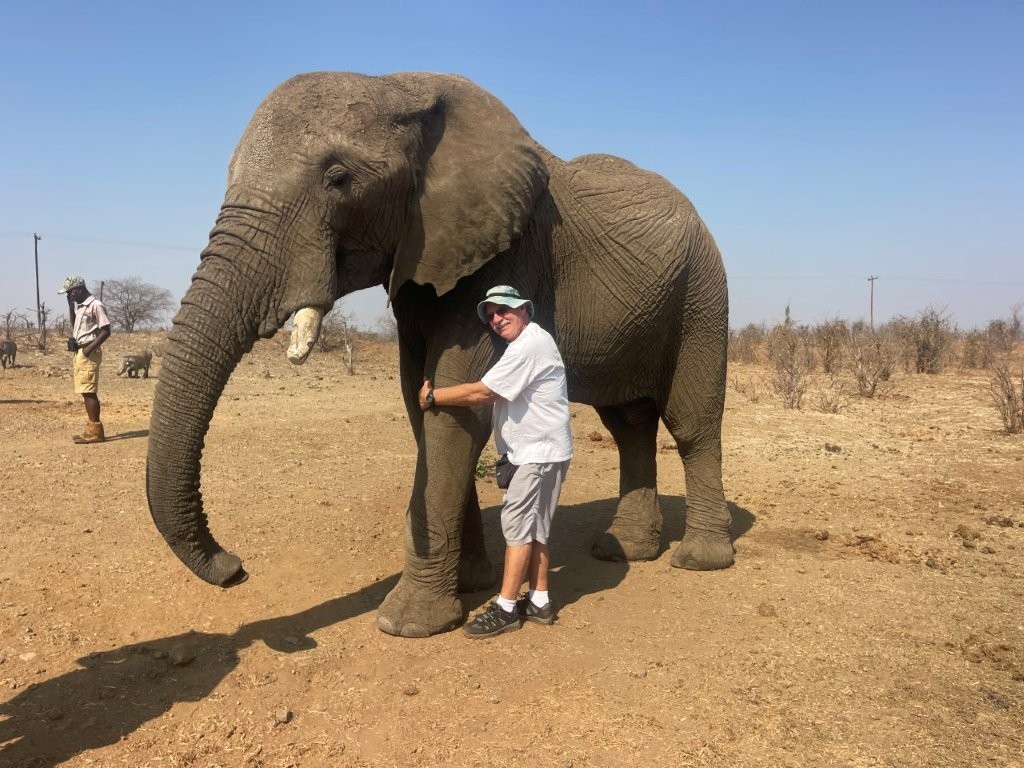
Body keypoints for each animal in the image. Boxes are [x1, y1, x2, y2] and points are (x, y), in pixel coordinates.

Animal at [146, 71, 732, 638]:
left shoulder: (508, 251)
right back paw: (621, 550)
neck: (399, 88)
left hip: (703, 293)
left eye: (339, 179)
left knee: (691, 423)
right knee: (628, 423)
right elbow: (421, 402)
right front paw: (471, 585)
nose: (235, 568)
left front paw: (408, 625)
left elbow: (456, 412)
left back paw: (699, 559)